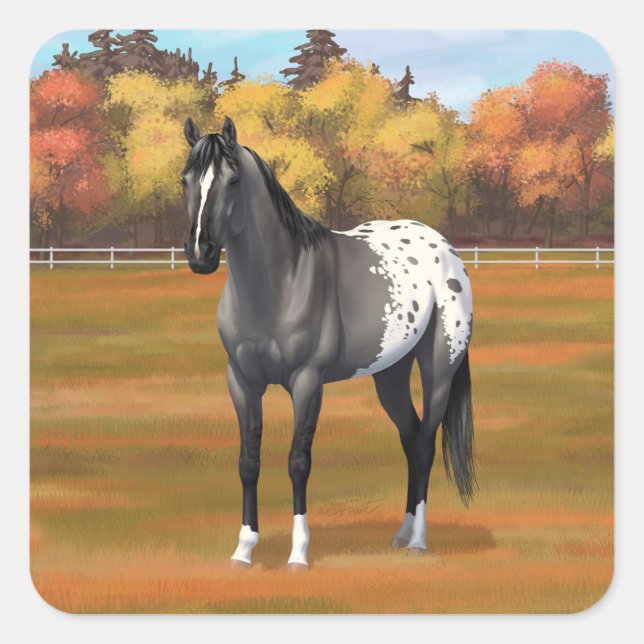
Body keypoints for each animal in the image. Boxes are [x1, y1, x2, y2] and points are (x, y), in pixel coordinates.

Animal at [181, 116, 475, 569]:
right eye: (185, 181)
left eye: (232, 181)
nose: (200, 254)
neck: (280, 282)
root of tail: (445, 250)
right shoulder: (242, 382)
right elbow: (249, 462)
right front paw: (244, 549)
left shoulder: (307, 383)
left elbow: (298, 463)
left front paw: (298, 554)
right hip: (390, 374)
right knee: (410, 439)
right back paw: (401, 533)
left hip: (439, 369)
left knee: (425, 444)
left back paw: (418, 541)